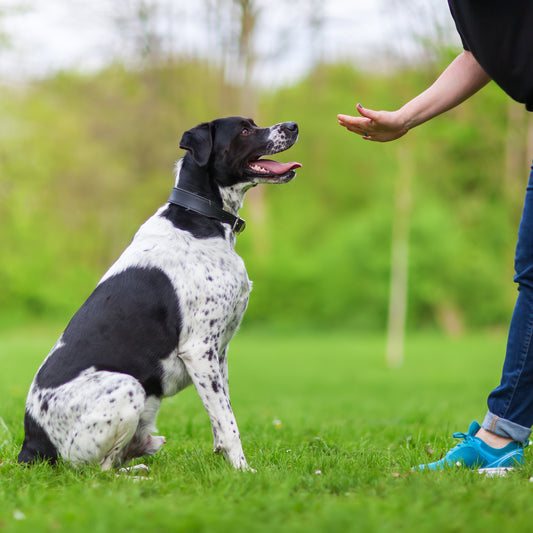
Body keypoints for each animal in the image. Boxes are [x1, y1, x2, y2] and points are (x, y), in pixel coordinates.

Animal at [17, 116, 300, 470]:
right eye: (245, 130)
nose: (293, 125)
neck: (199, 219)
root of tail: (30, 447)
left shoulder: (218, 353)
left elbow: (220, 417)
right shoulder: (199, 349)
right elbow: (229, 422)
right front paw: (243, 470)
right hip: (127, 387)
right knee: (99, 470)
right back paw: (137, 473)